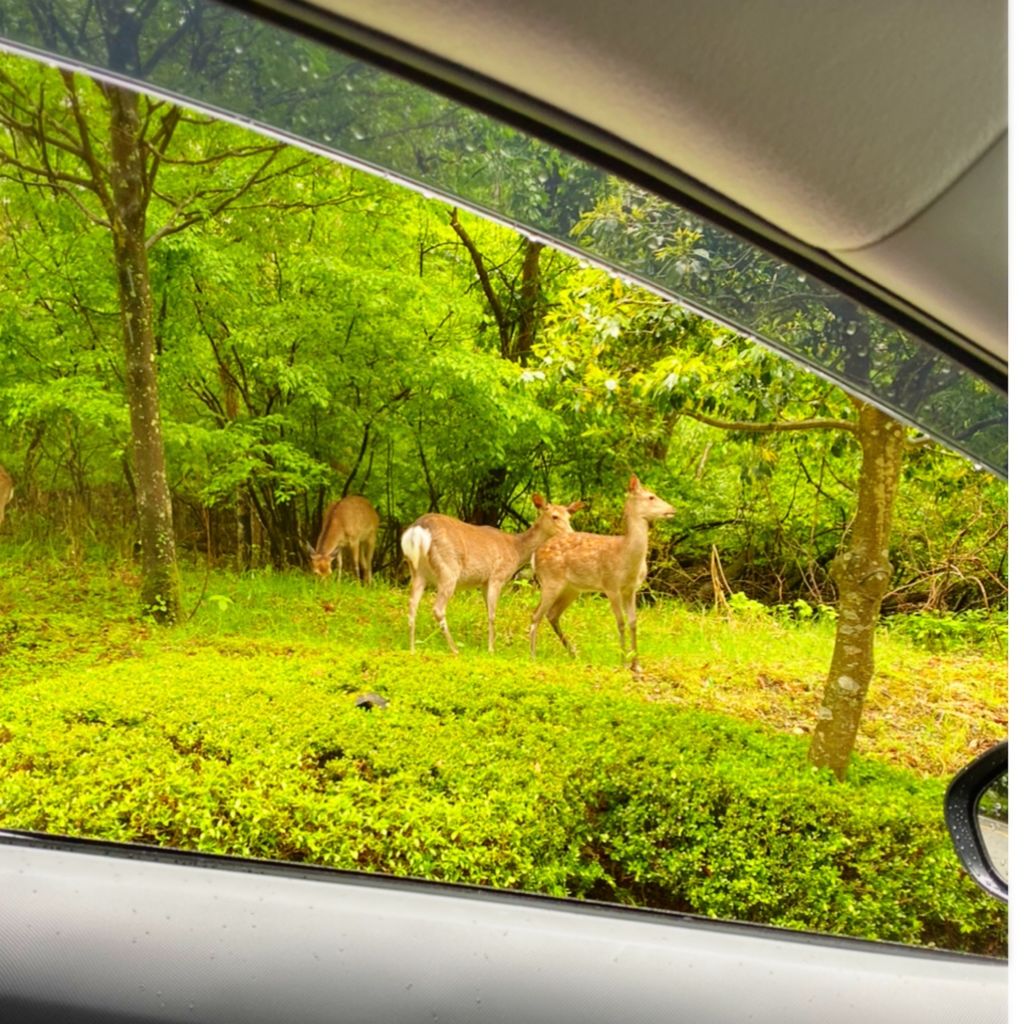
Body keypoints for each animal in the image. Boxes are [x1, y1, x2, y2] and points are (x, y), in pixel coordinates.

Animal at [401, 495, 585, 655]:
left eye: (569, 517)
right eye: (554, 516)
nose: (571, 533)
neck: (516, 550)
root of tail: (417, 530)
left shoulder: (484, 582)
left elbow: (487, 610)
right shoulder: (498, 575)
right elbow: (492, 614)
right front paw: (491, 649)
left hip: (417, 571)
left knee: (411, 605)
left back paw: (412, 649)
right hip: (448, 569)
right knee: (438, 608)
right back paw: (454, 649)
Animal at [532, 475, 675, 675]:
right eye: (651, 497)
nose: (672, 509)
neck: (626, 557)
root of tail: (535, 555)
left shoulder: (631, 589)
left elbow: (633, 622)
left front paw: (637, 665)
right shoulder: (611, 585)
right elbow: (620, 622)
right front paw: (623, 663)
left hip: (571, 589)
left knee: (552, 614)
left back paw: (573, 653)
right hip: (549, 580)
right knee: (536, 614)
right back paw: (532, 654)